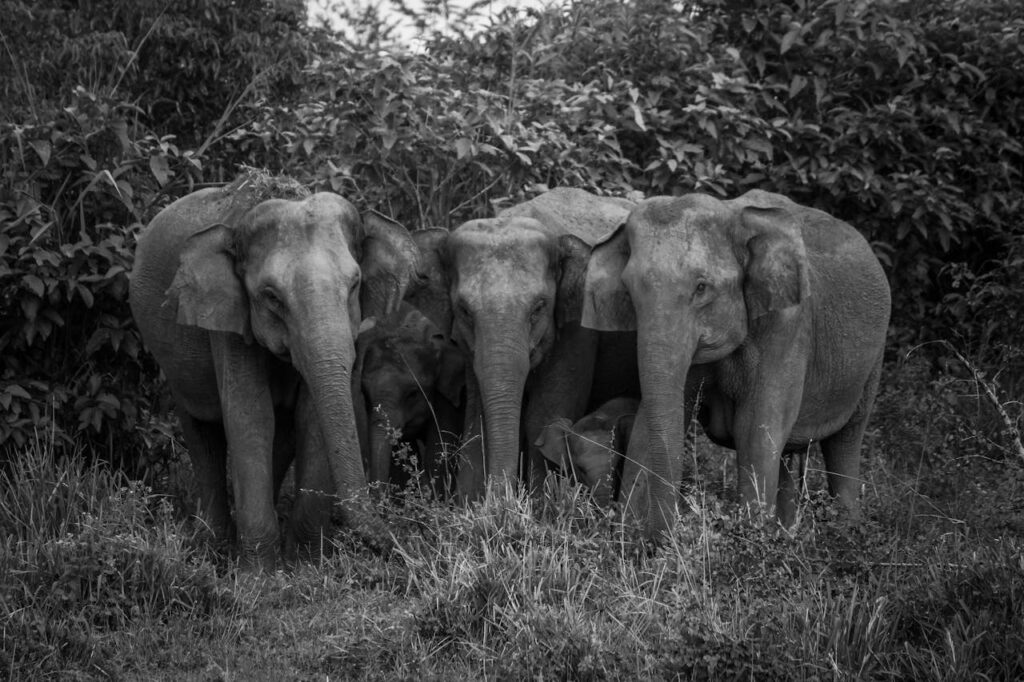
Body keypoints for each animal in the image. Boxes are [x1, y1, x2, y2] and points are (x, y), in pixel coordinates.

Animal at [130, 174, 417, 561]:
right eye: (271, 297)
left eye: (355, 284)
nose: (399, 546)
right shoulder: (227, 321)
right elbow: (250, 416)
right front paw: (259, 571)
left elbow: (309, 417)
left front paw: (306, 563)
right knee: (201, 430)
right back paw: (212, 544)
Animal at [411, 186, 634, 499]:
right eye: (464, 310)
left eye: (539, 307)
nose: (501, 499)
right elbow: (477, 418)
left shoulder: (578, 327)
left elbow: (542, 415)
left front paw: (541, 505)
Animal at [585, 188, 888, 532]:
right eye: (629, 291)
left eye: (701, 287)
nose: (665, 532)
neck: (733, 214)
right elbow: (653, 420)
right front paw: (626, 534)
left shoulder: (788, 324)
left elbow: (755, 430)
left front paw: (752, 537)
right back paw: (787, 534)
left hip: (872, 363)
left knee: (845, 443)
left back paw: (846, 530)